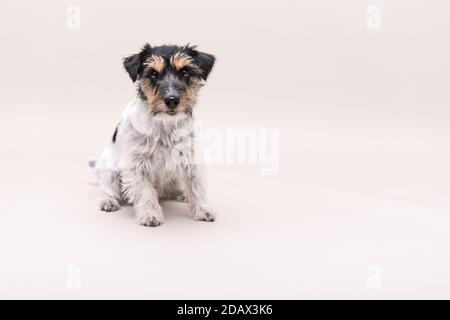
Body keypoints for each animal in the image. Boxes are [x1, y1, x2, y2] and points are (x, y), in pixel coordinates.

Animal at [89, 43, 216, 226]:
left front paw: (203, 210)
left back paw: (179, 194)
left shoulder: (191, 159)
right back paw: (108, 201)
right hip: (110, 171)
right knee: (107, 189)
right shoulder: (136, 165)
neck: (165, 124)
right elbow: (145, 191)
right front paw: (150, 214)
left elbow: (197, 187)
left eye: (185, 72)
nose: (171, 100)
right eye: (153, 74)